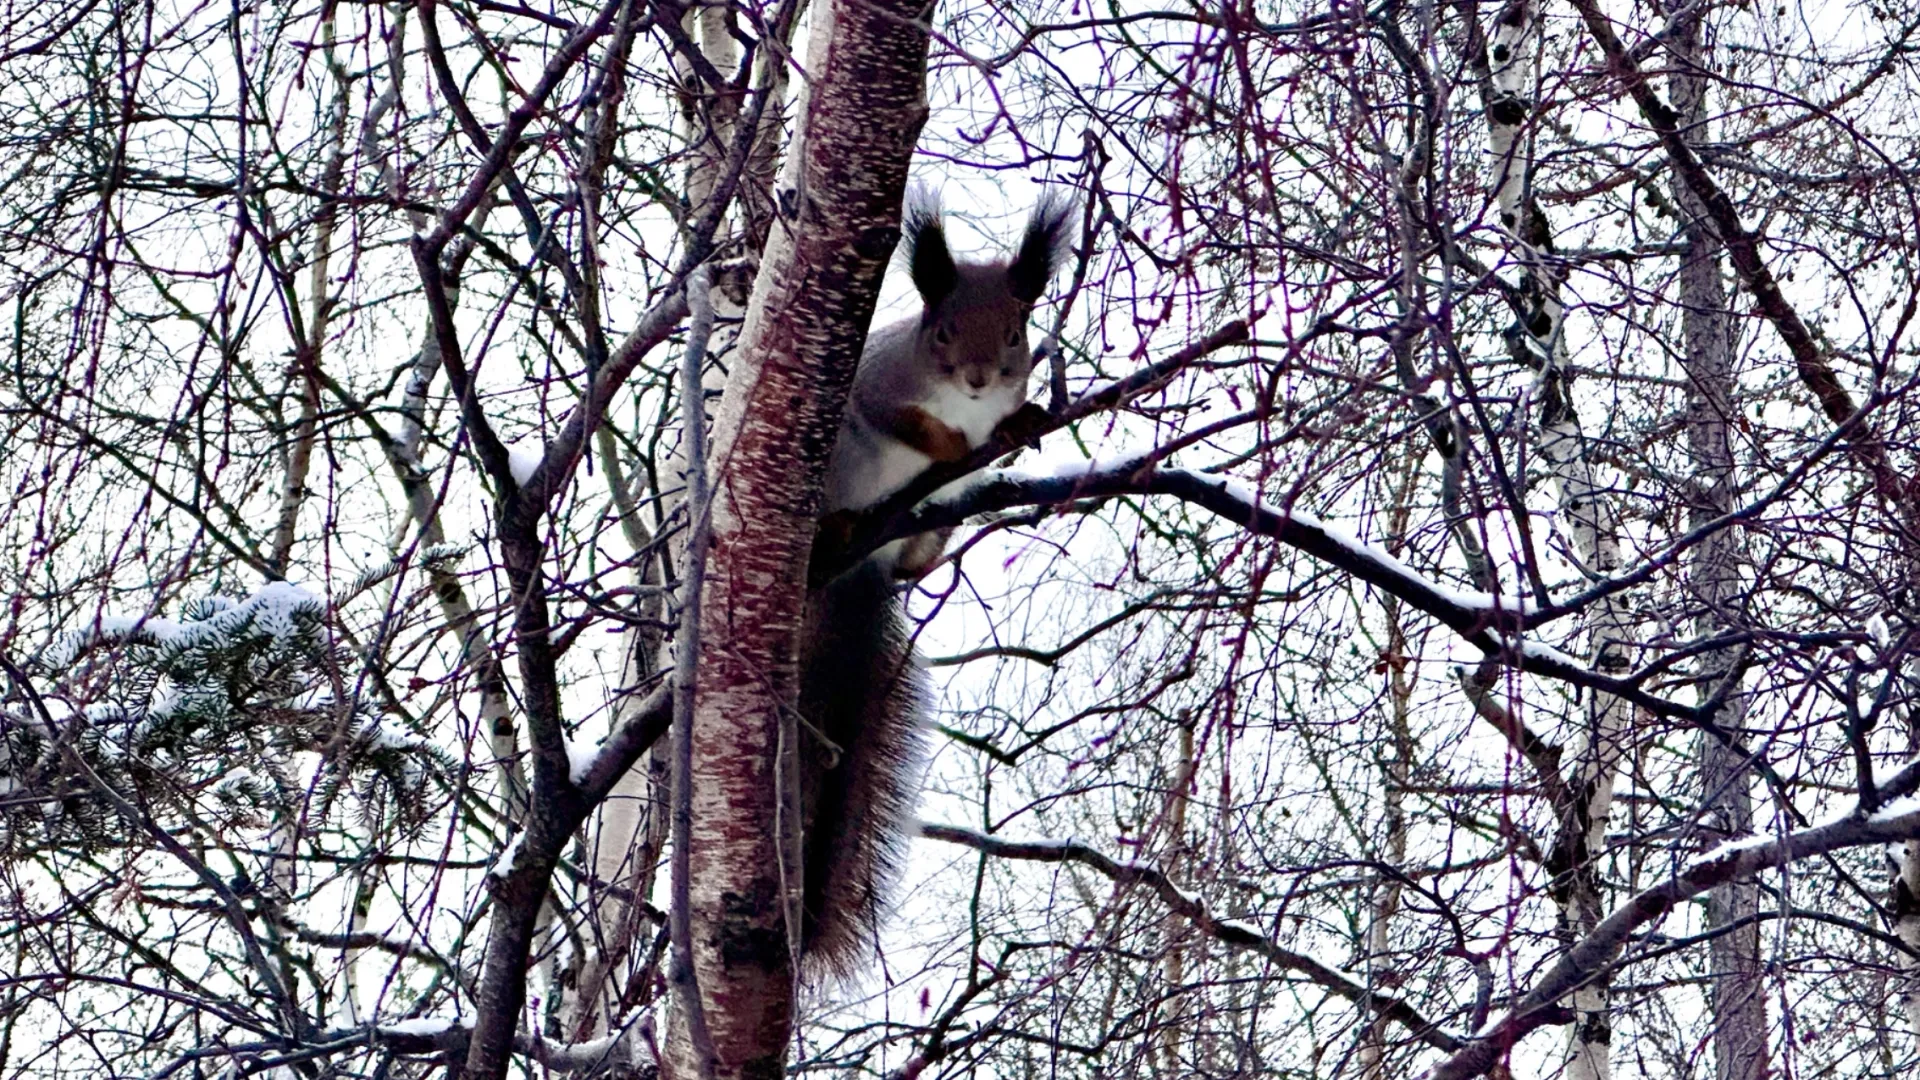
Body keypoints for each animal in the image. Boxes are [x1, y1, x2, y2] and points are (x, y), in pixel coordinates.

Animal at [787, 189, 1075, 972]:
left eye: (1016, 333)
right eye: (942, 332)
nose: (978, 378)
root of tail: (866, 567)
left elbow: (1009, 424)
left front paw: (1021, 420)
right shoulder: (876, 389)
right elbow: (905, 421)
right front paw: (946, 440)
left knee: (921, 551)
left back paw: (922, 552)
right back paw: (838, 529)